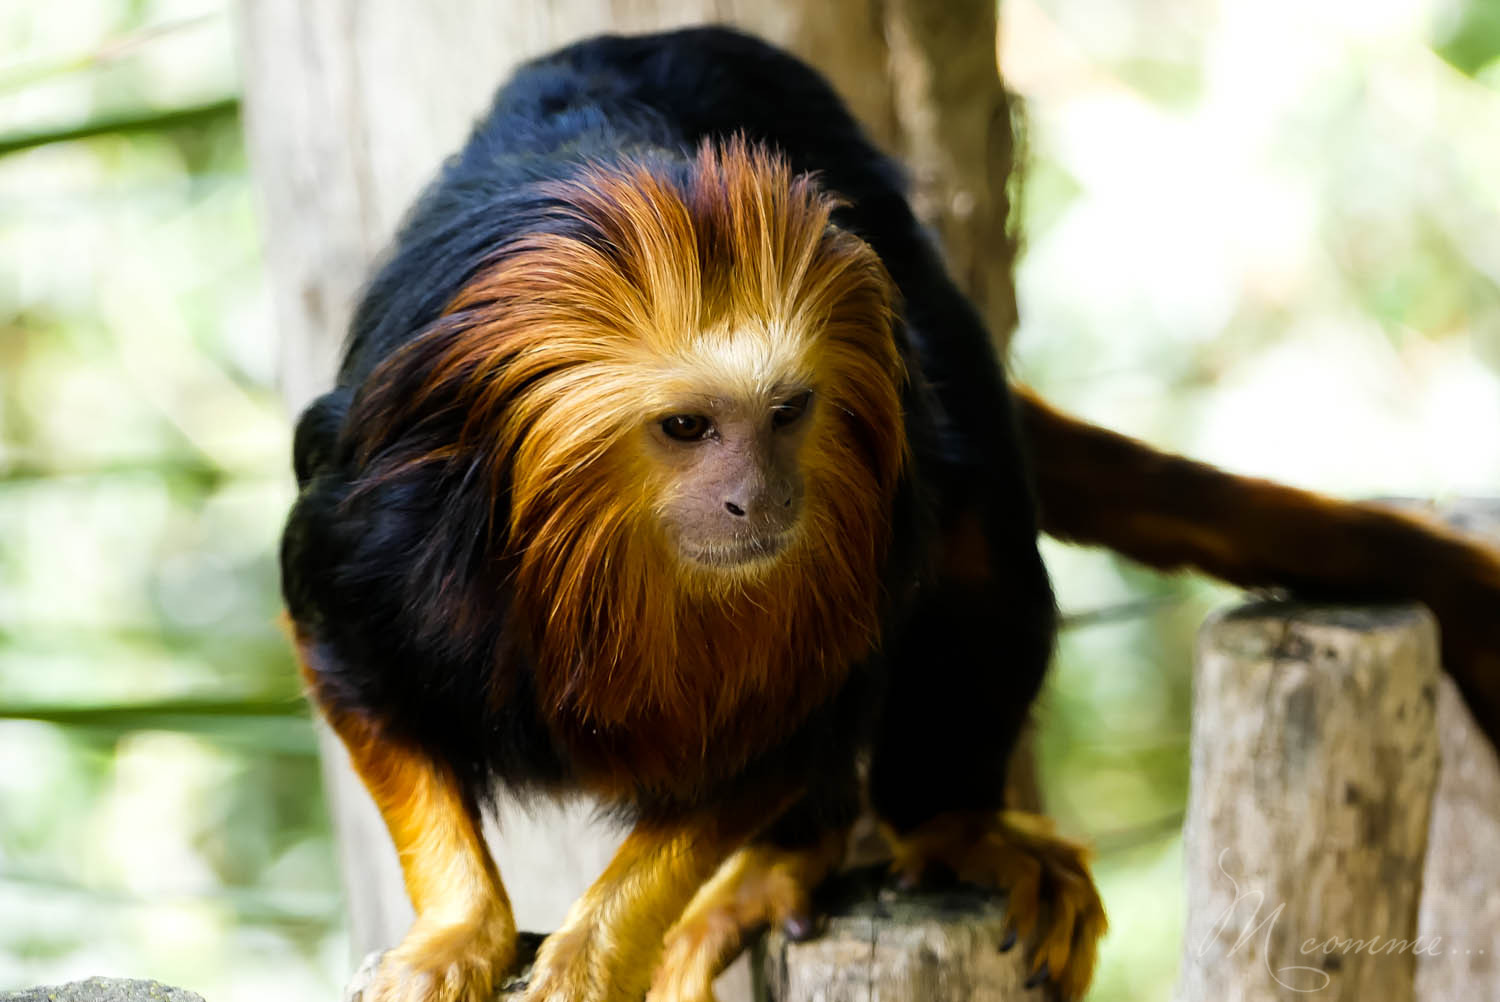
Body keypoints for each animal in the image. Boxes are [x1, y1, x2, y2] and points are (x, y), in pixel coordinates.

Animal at [279, 26, 1500, 1002]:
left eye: (785, 414)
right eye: (687, 428)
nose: (761, 496)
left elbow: (784, 730)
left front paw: (600, 950)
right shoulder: (381, 530)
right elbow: (357, 676)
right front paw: (458, 933)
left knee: (975, 546)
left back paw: (899, 832)